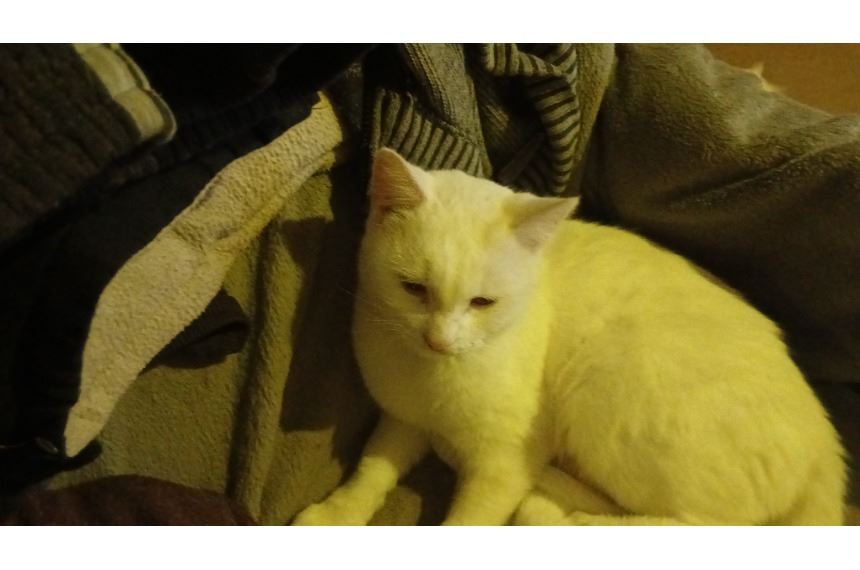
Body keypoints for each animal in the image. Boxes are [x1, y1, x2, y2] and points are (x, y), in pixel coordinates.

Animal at [293, 148, 846, 525]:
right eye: (413, 289)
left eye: (482, 303)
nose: (439, 340)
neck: (432, 378)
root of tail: (826, 444)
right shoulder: (403, 418)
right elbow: (372, 469)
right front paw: (337, 513)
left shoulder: (502, 462)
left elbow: (469, 520)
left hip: (609, 388)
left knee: (697, 526)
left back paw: (557, 513)